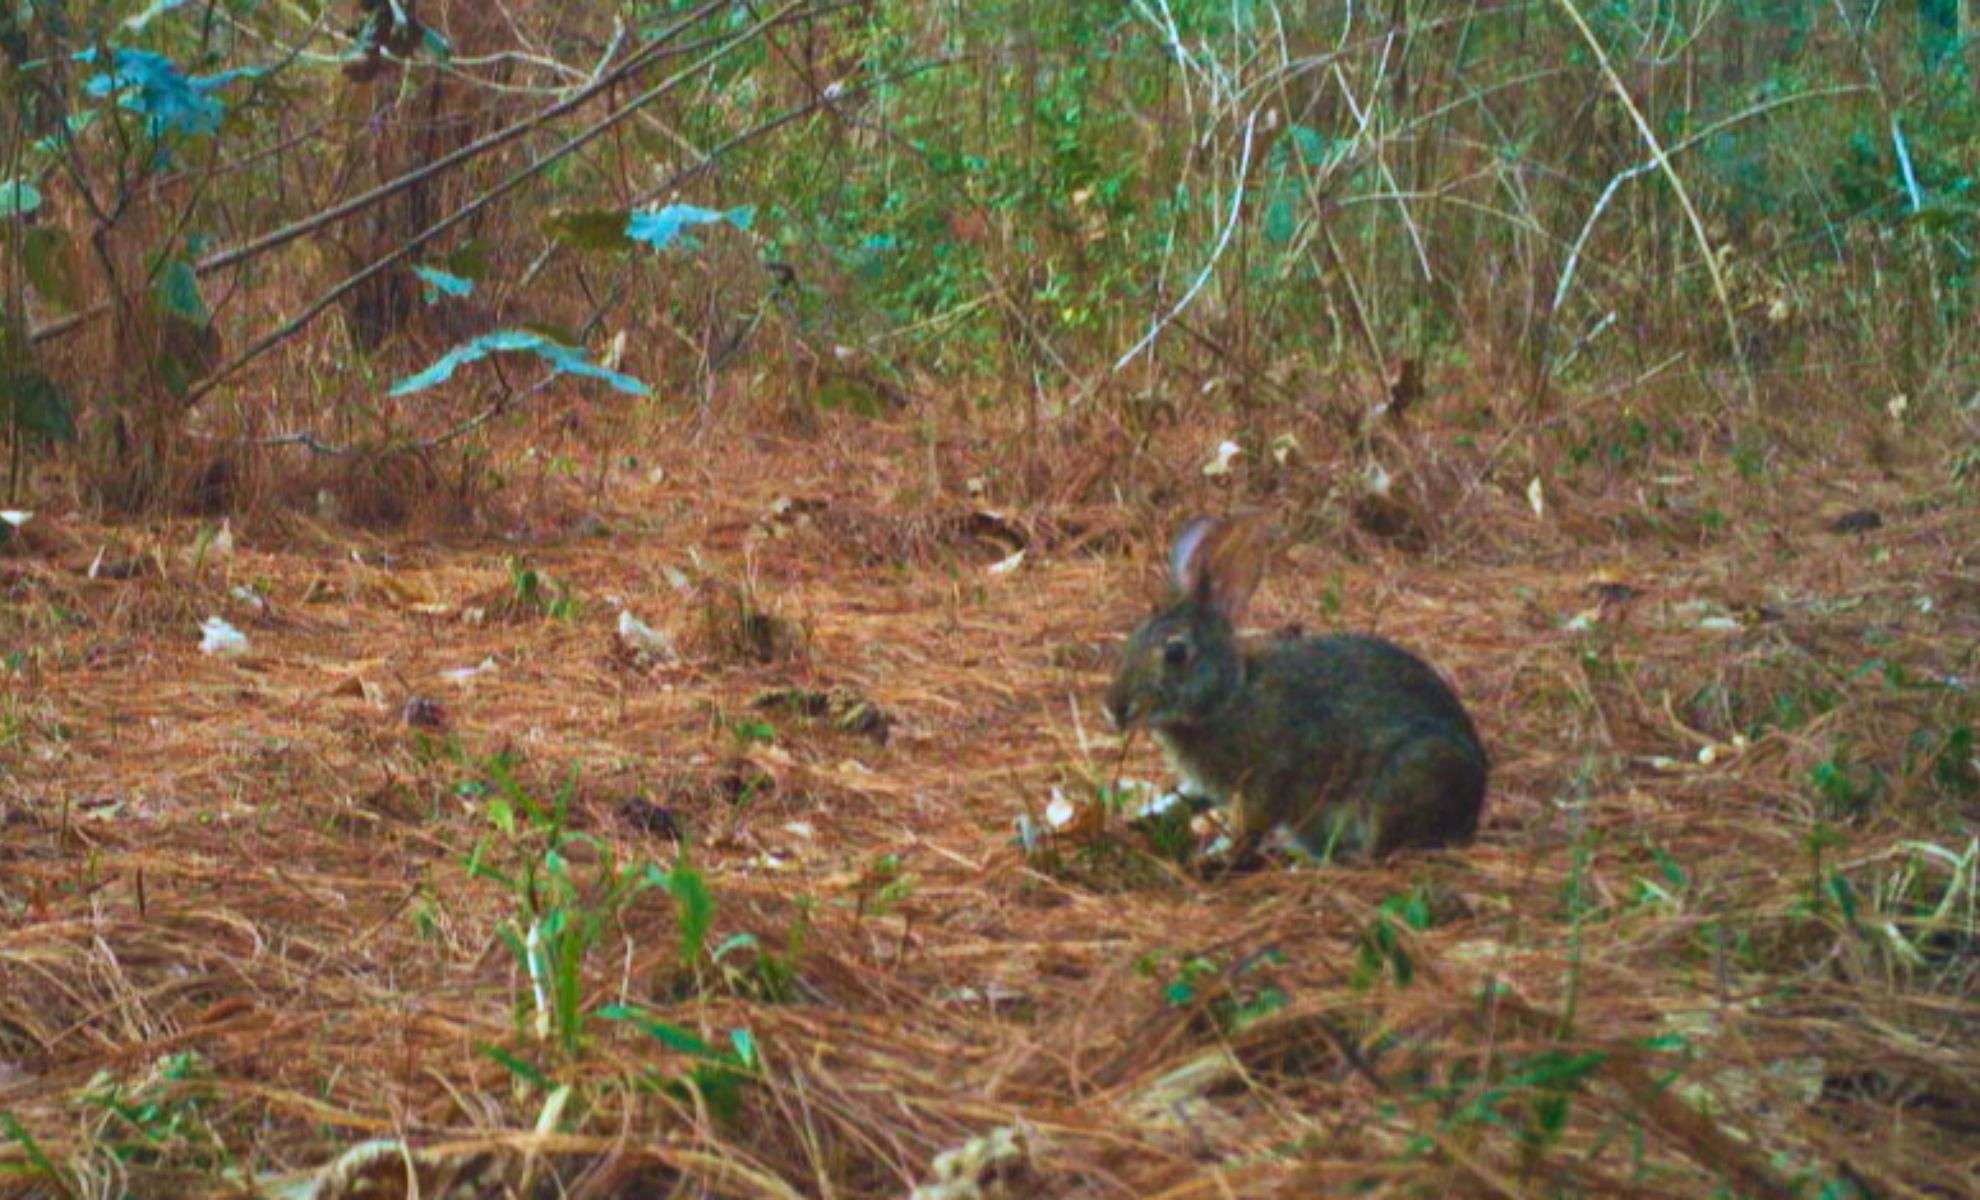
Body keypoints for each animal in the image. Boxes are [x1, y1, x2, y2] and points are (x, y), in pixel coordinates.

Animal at [1104, 513, 1486, 865]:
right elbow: (1181, 801)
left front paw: (1213, 857)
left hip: (1408, 778)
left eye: (1176, 652)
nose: (1114, 707)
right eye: (1132, 639)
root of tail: (1473, 808)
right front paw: (1135, 823)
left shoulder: (1266, 781)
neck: (1229, 697)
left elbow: (1249, 827)